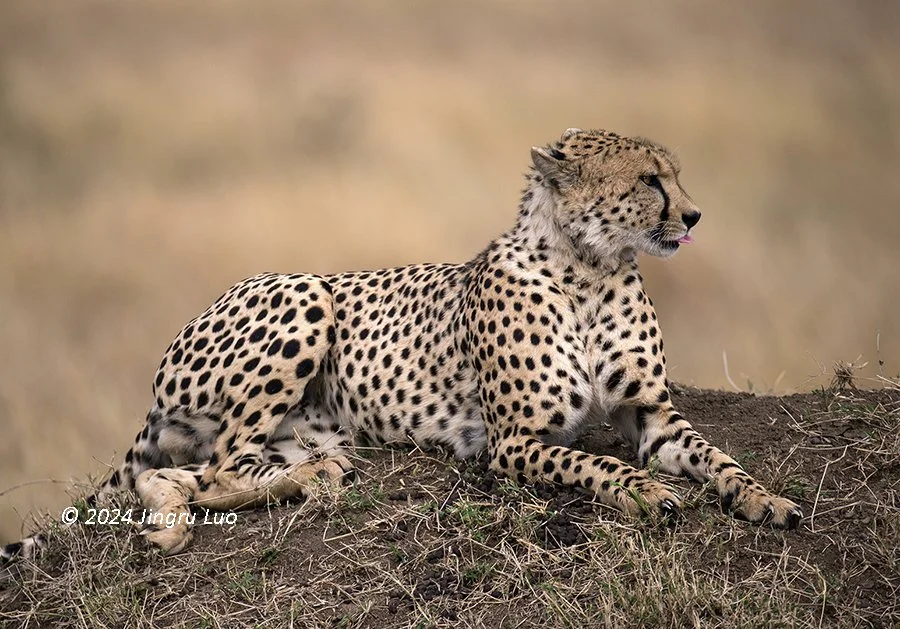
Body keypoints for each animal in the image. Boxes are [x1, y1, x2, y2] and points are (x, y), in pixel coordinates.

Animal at [2, 127, 802, 562]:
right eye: (648, 180)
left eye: (674, 176)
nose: (694, 216)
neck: (591, 269)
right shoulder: (512, 442)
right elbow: (593, 463)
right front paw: (646, 492)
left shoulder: (653, 415)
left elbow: (718, 459)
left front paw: (767, 500)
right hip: (304, 293)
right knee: (217, 466)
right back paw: (290, 489)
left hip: (304, 426)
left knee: (192, 473)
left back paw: (237, 499)